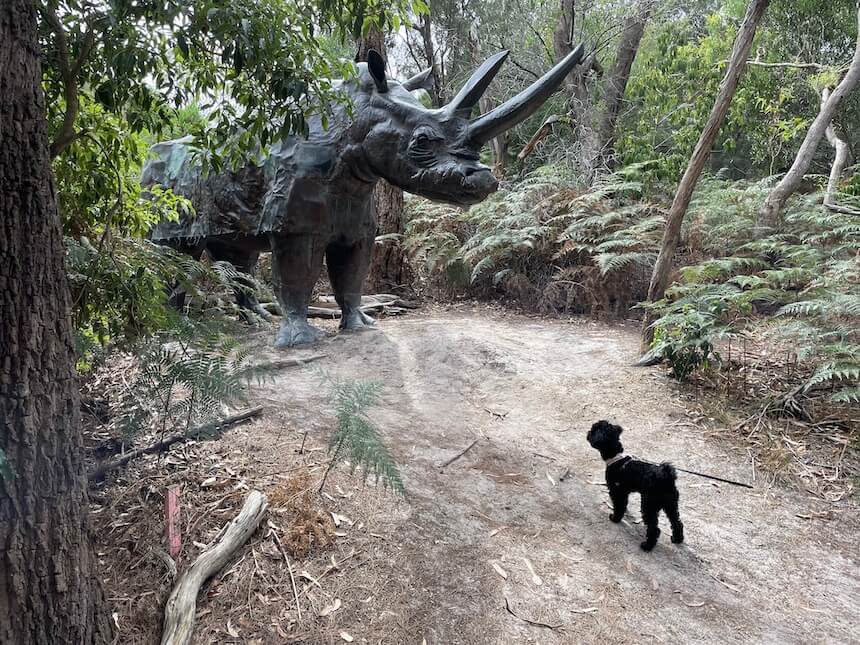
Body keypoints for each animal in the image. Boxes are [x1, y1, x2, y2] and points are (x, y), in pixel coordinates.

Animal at [584, 420, 684, 552]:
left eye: (594, 430)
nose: (588, 432)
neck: (616, 458)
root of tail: (665, 476)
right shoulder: (624, 492)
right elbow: (623, 505)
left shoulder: (616, 491)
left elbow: (618, 506)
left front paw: (615, 518)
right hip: (671, 504)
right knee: (677, 522)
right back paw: (677, 539)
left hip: (649, 505)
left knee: (654, 528)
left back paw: (647, 545)